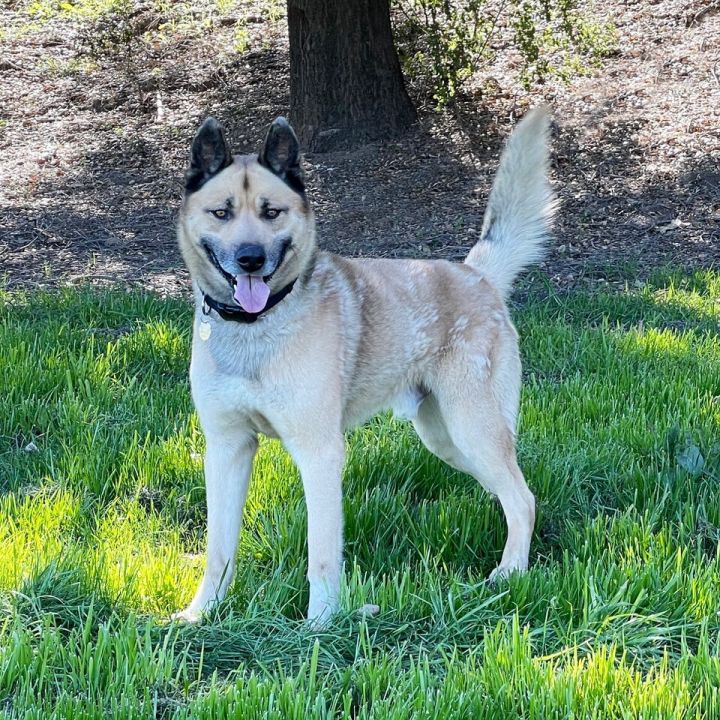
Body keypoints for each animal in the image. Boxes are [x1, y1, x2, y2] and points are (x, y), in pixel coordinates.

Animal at [174, 107, 556, 624]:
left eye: (272, 212)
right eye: (222, 212)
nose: (250, 259)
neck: (256, 328)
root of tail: (477, 274)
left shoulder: (319, 453)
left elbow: (321, 553)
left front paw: (318, 625)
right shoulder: (226, 449)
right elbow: (218, 548)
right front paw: (201, 614)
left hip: (473, 428)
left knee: (522, 498)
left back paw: (511, 572)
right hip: (447, 439)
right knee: (514, 494)